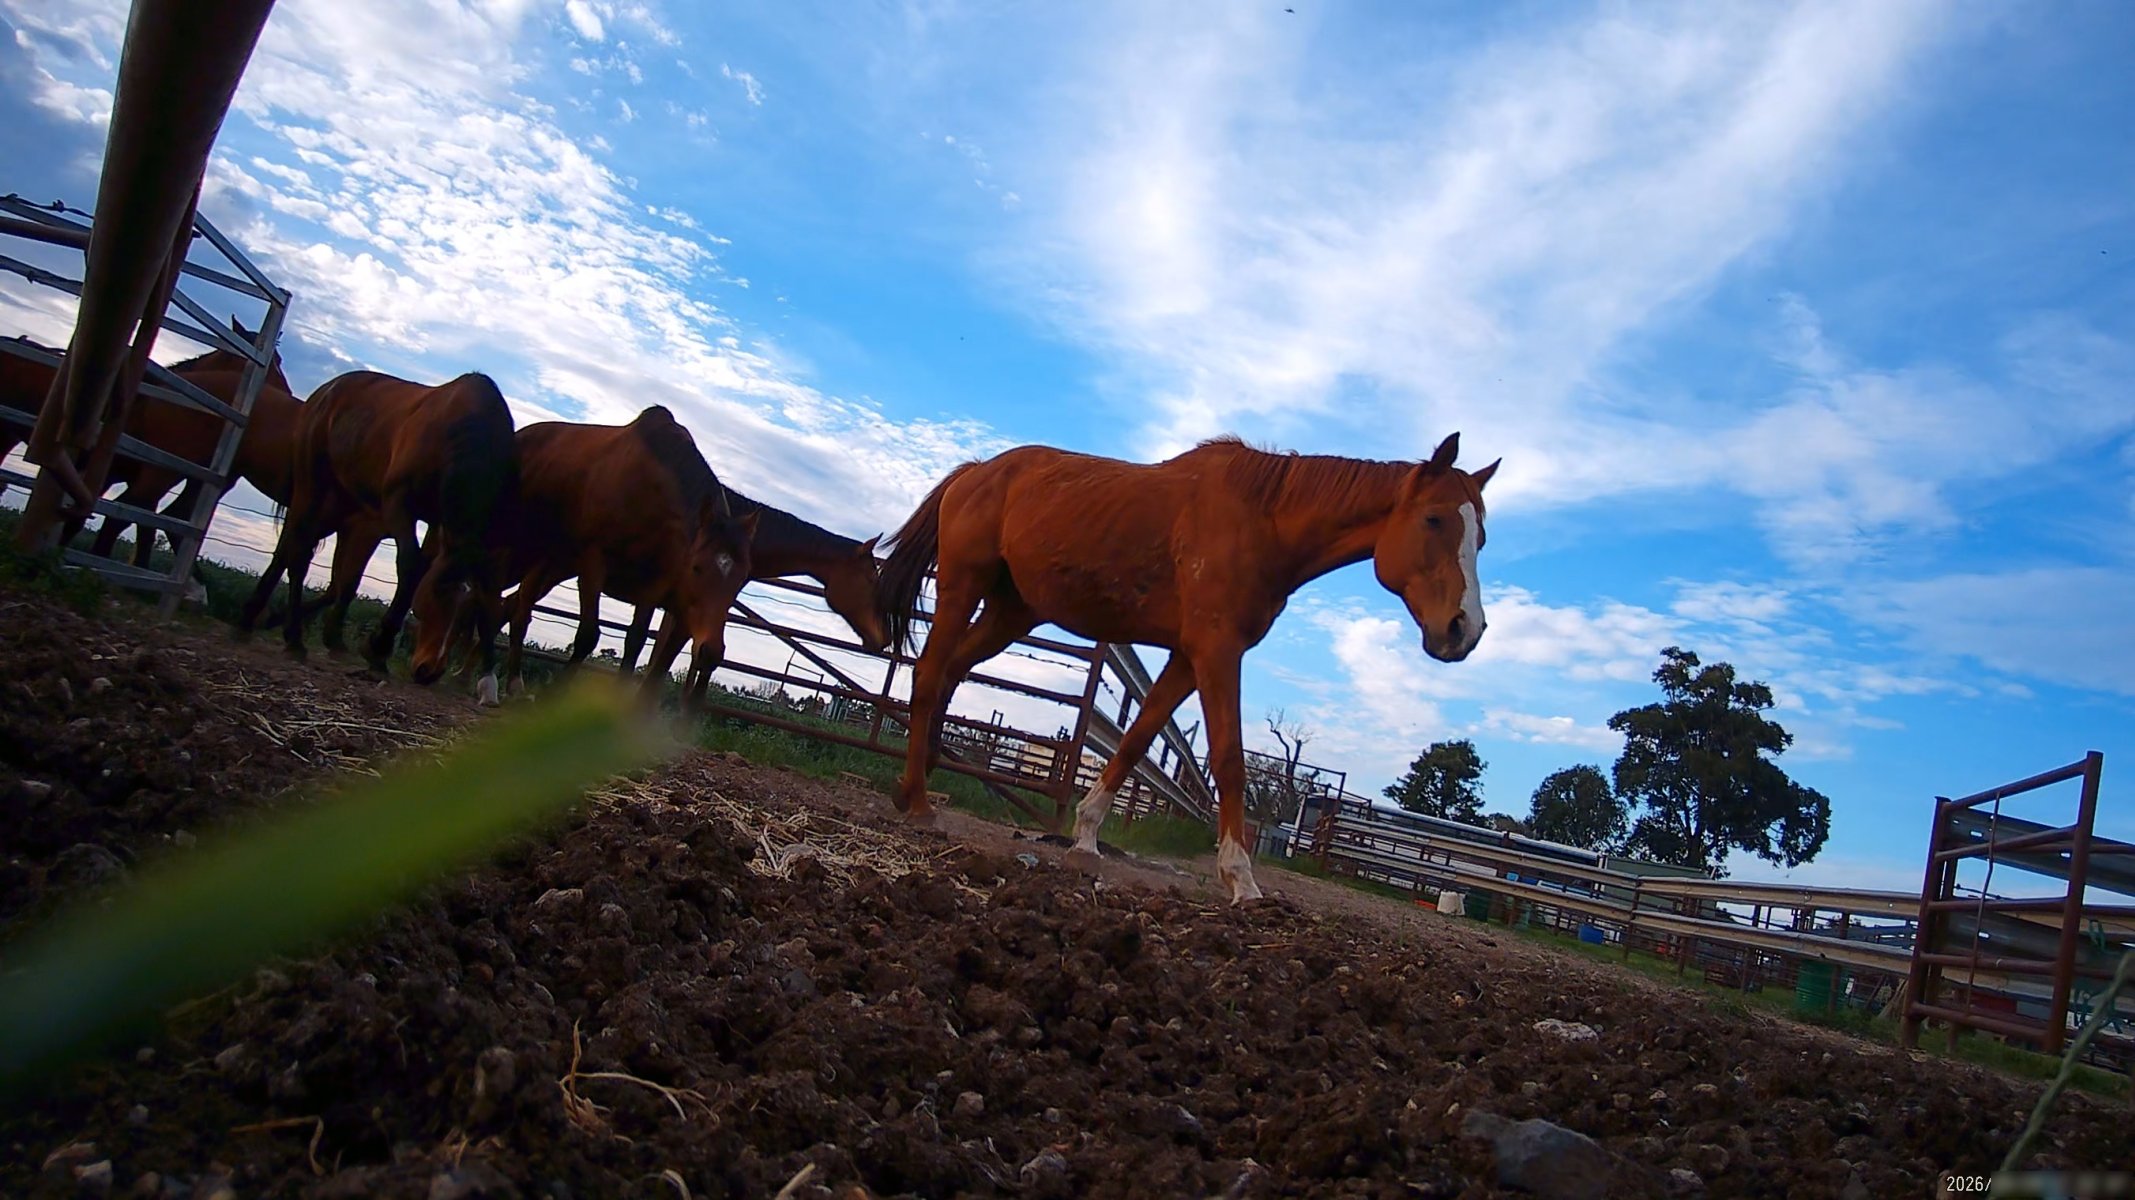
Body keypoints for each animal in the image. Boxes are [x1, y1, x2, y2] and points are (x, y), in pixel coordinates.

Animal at [235, 369, 519, 701]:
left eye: (466, 613)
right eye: (437, 592)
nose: (429, 671)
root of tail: (329, 389)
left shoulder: (437, 523)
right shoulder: (399, 504)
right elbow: (410, 568)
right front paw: (377, 650)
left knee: (293, 549)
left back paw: (259, 622)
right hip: (312, 484)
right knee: (299, 550)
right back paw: (287, 637)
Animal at [409, 405, 758, 707]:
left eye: (740, 580)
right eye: (697, 568)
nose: (711, 653)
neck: (649, 491)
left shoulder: (652, 585)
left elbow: (635, 643)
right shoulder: (594, 564)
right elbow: (588, 634)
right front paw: (556, 695)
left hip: (548, 563)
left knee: (515, 610)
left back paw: (503, 682)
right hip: (510, 550)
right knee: (489, 602)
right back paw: (473, 678)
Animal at [873, 432, 1498, 904]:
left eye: (1482, 535)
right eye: (1435, 520)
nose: (1464, 630)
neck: (1264, 520)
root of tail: (975, 474)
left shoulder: (1185, 657)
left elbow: (1135, 740)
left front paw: (1086, 837)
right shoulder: (1217, 651)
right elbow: (1229, 759)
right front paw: (1241, 880)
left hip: (1011, 610)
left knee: (950, 673)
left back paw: (915, 785)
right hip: (963, 587)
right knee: (929, 675)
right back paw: (920, 802)